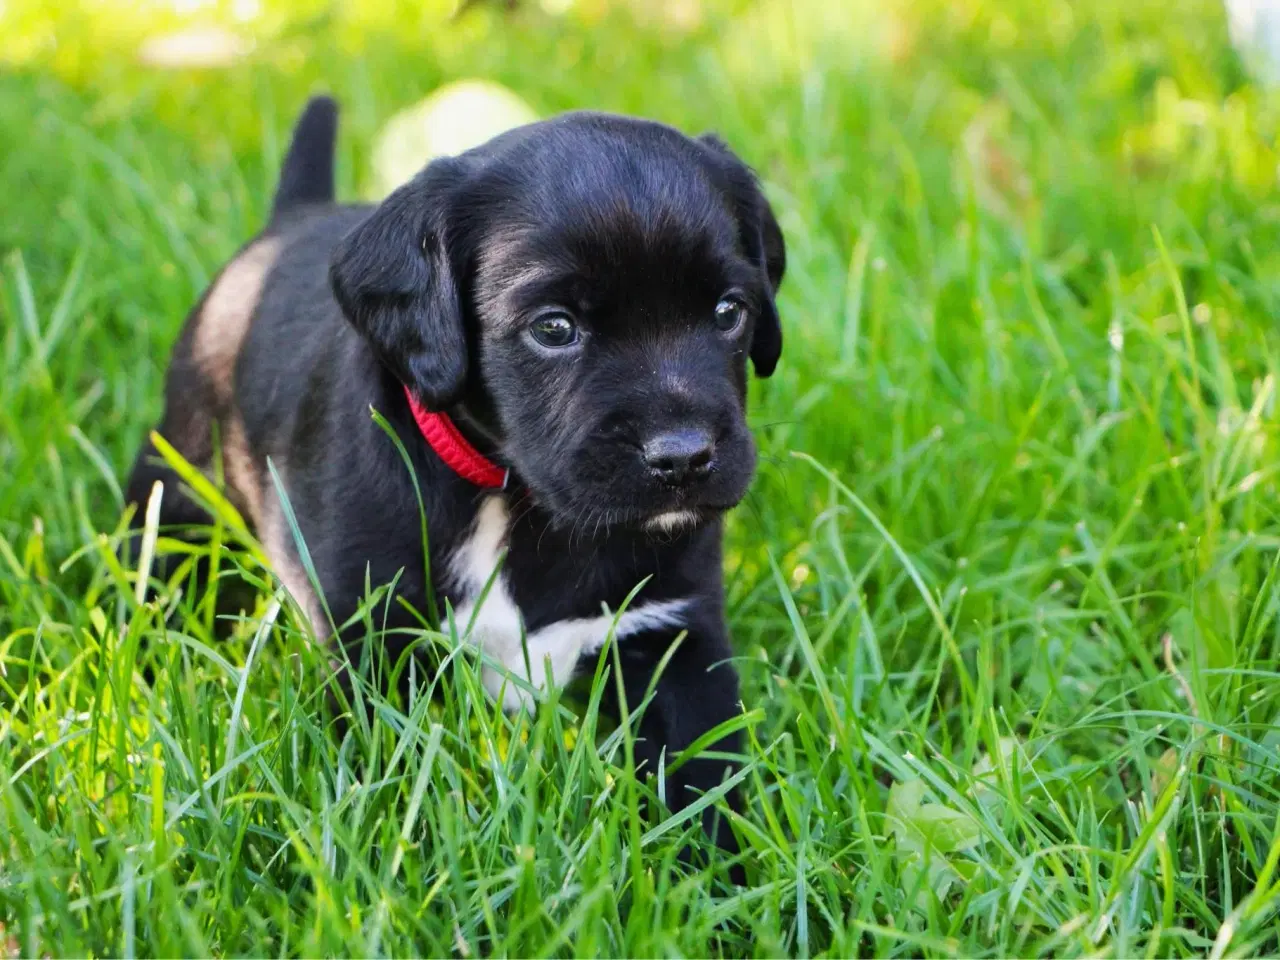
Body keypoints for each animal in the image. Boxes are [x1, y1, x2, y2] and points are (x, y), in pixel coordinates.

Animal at [124, 97, 783, 870]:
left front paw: (721, 883)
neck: (513, 500)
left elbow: (706, 781)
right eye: (554, 328)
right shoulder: (372, 646)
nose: (683, 458)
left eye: (729, 312)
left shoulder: (677, 636)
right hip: (178, 485)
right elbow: (384, 782)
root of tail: (290, 220)